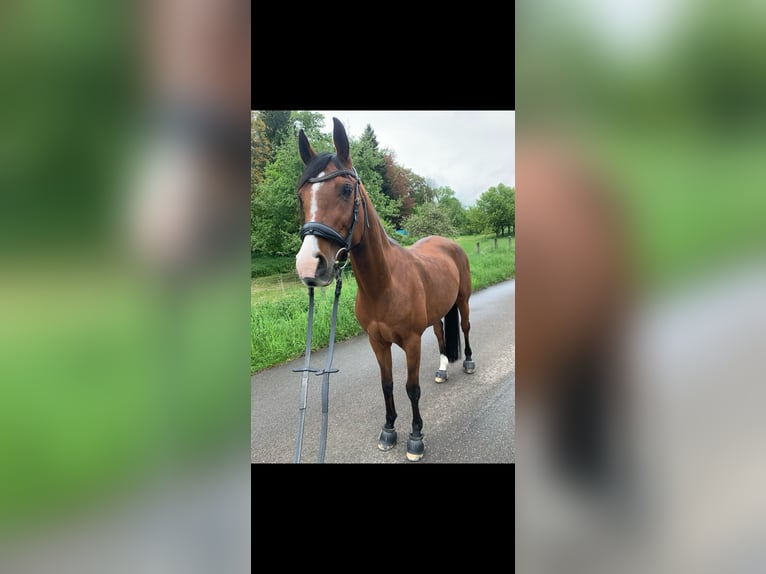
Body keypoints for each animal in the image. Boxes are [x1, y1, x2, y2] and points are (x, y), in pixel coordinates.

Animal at [294, 117, 475, 461]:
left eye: (346, 189)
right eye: (300, 196)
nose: (309, 265)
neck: (385, 285)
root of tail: (447, 242)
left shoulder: (412, 342)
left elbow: (411, 388)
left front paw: (416, 438)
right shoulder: (377, 343)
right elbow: (387, 385)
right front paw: (389, 430)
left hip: (463, 300)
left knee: (466, 328)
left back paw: (469, 363)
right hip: (437, 311)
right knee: (441, 333)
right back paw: (443, 369)